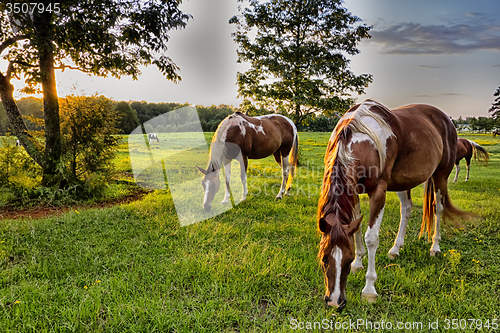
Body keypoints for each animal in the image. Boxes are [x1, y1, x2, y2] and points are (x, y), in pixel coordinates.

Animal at [318, 98, 470, 308]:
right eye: (324, 259)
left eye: (347, 260)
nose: (334, 302)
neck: (361, 138)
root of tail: (445, 119)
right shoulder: (353, 191)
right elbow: (356, 230)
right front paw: (359, 262)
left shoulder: (378, 192)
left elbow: (371, 238)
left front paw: (369, 289)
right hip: (403, 182)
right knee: (406, 209)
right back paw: (395, 249)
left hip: (441, 175)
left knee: (438, 209)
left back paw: (435, 247)